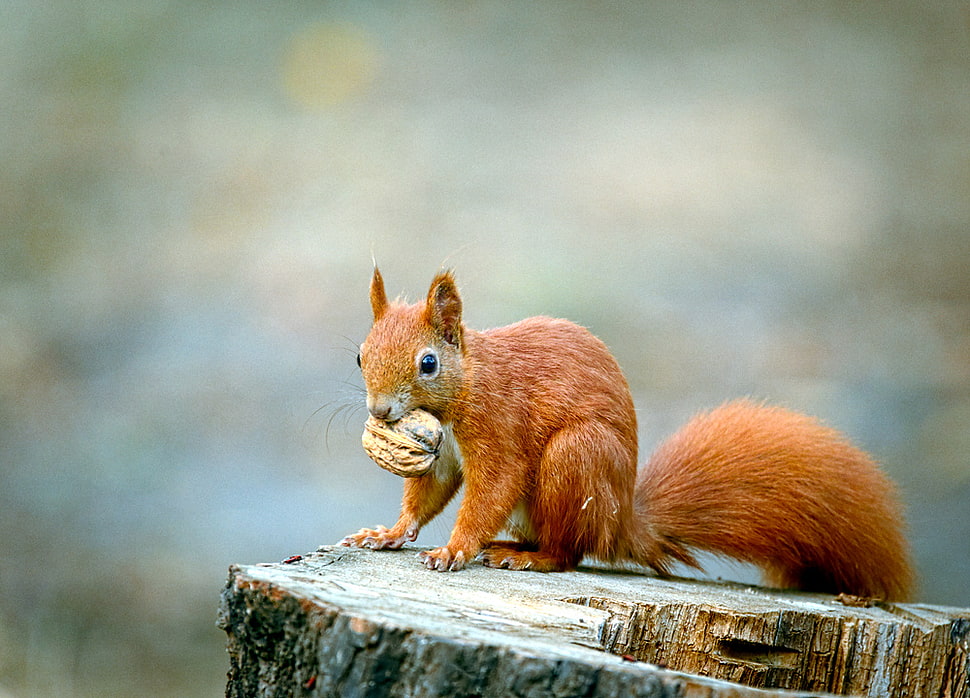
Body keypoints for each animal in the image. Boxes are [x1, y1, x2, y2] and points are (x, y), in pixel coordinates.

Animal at [340, 268, 914, 601]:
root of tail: (621, 523)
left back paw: (526, 556)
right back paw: (513, 544)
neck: (469, 386)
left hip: (576, 459)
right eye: (360, 356)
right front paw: (388, 534)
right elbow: (428, 494)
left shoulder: (499, 427)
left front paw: (453, 549)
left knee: (569, 553)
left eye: (429, 363)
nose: (380, 411)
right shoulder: (439, 453)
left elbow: (492, 489)